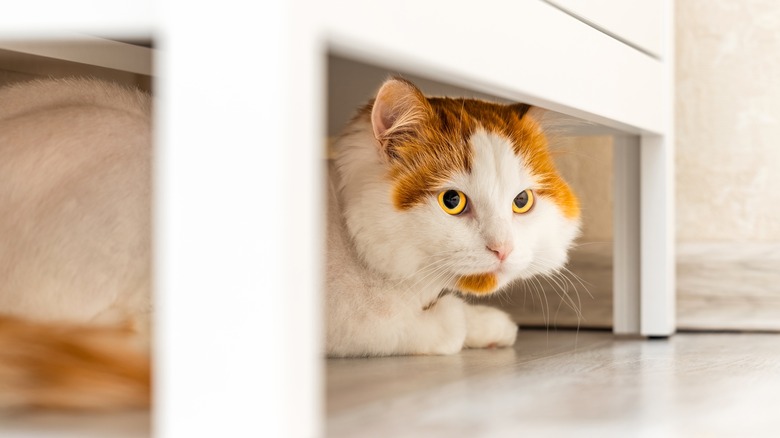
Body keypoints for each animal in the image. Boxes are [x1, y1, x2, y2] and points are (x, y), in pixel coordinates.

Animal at [328, 78, 580, 358]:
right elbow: (448, 326)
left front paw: (493, 326)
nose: (503, 249)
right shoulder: (356, 322)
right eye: (452, 200)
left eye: (522, 200)